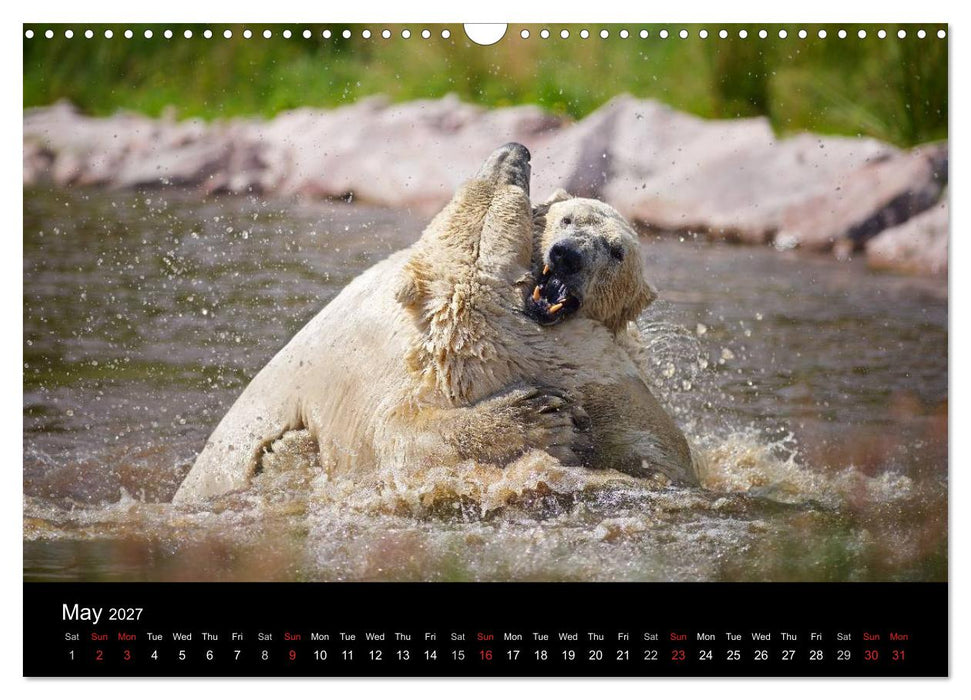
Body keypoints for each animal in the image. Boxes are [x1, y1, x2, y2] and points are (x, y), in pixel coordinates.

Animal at [173, 143, 695, 504]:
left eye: (616, 250)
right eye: (565, 219)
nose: (516, 150)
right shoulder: (382, 376)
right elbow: (396, 441)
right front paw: (536, 417)